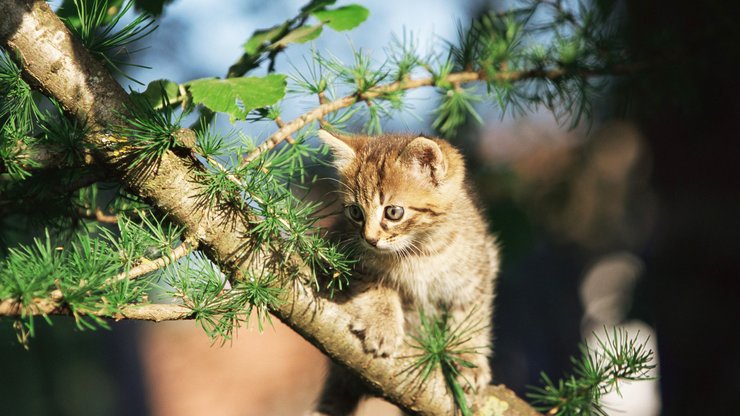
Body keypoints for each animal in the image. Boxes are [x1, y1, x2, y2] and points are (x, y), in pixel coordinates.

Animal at [310, 129, 498, 412]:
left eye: (393, 212)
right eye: (355, 212)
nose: (369, 239)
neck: (420, 251)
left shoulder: (478, 272)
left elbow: (471, 319)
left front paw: (469, 359)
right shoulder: (344, 252)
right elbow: (375, 284)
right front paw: (383, 324)